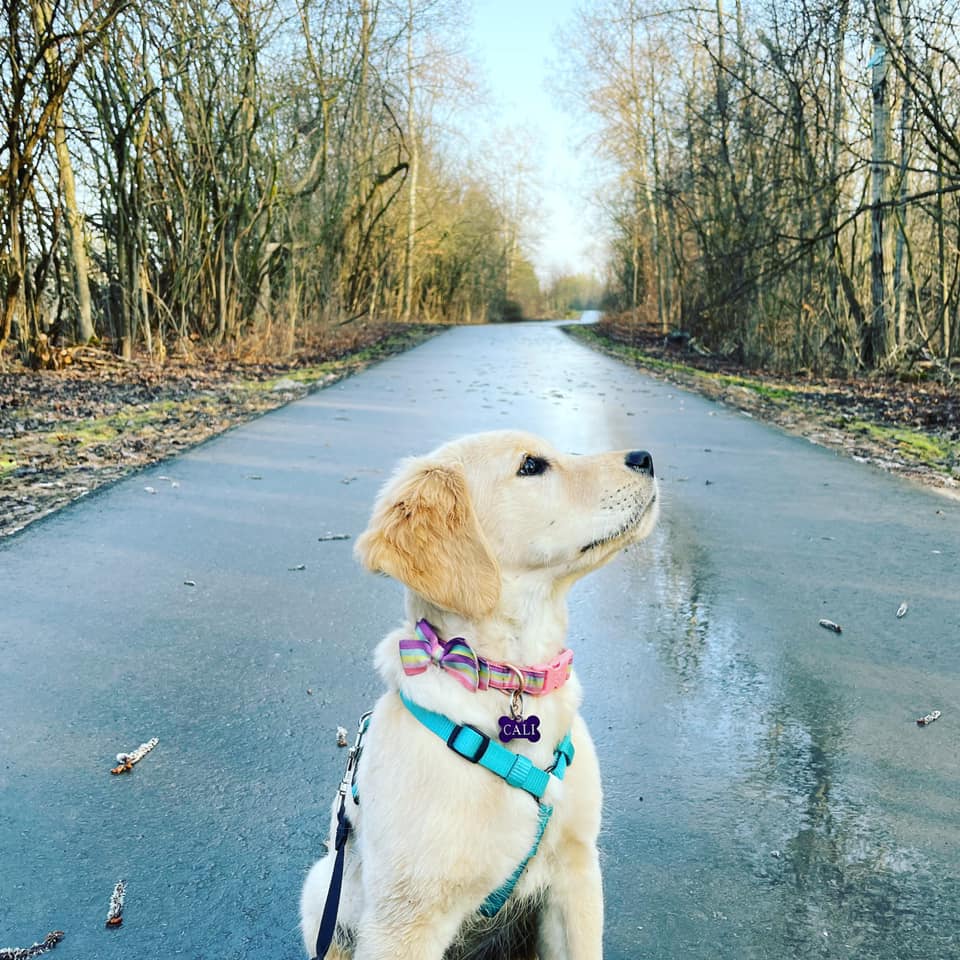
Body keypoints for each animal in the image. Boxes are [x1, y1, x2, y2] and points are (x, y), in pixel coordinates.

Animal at [300, 430, 658, 960]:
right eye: (531, 466)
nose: (646, 458)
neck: (507, 679)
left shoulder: (577, 874)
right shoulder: (404, 924)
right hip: (322, 887)